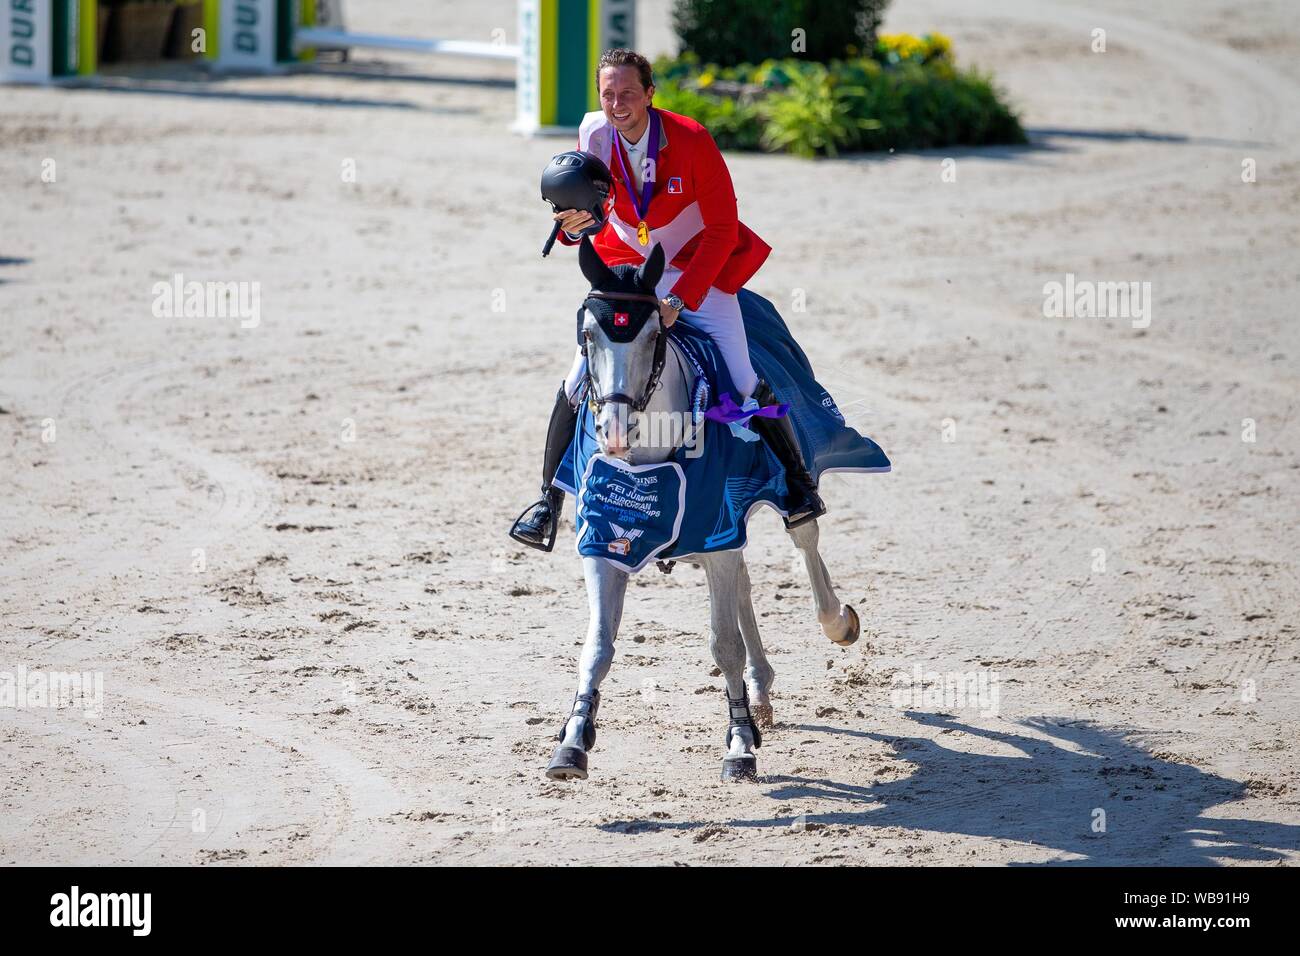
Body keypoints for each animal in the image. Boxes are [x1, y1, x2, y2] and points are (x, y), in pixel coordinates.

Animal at [543, 239, 857, 785]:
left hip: (780, 496)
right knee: (746, 583)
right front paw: (573, 741)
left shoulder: (717, 535)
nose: (615, 432)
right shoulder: (603, 540)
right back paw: (760, 690)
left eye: (654, 336)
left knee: (806, 545)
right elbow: (598, 644)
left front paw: (739, 745)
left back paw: (837, 623)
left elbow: (724, 644)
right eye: (586, 335)